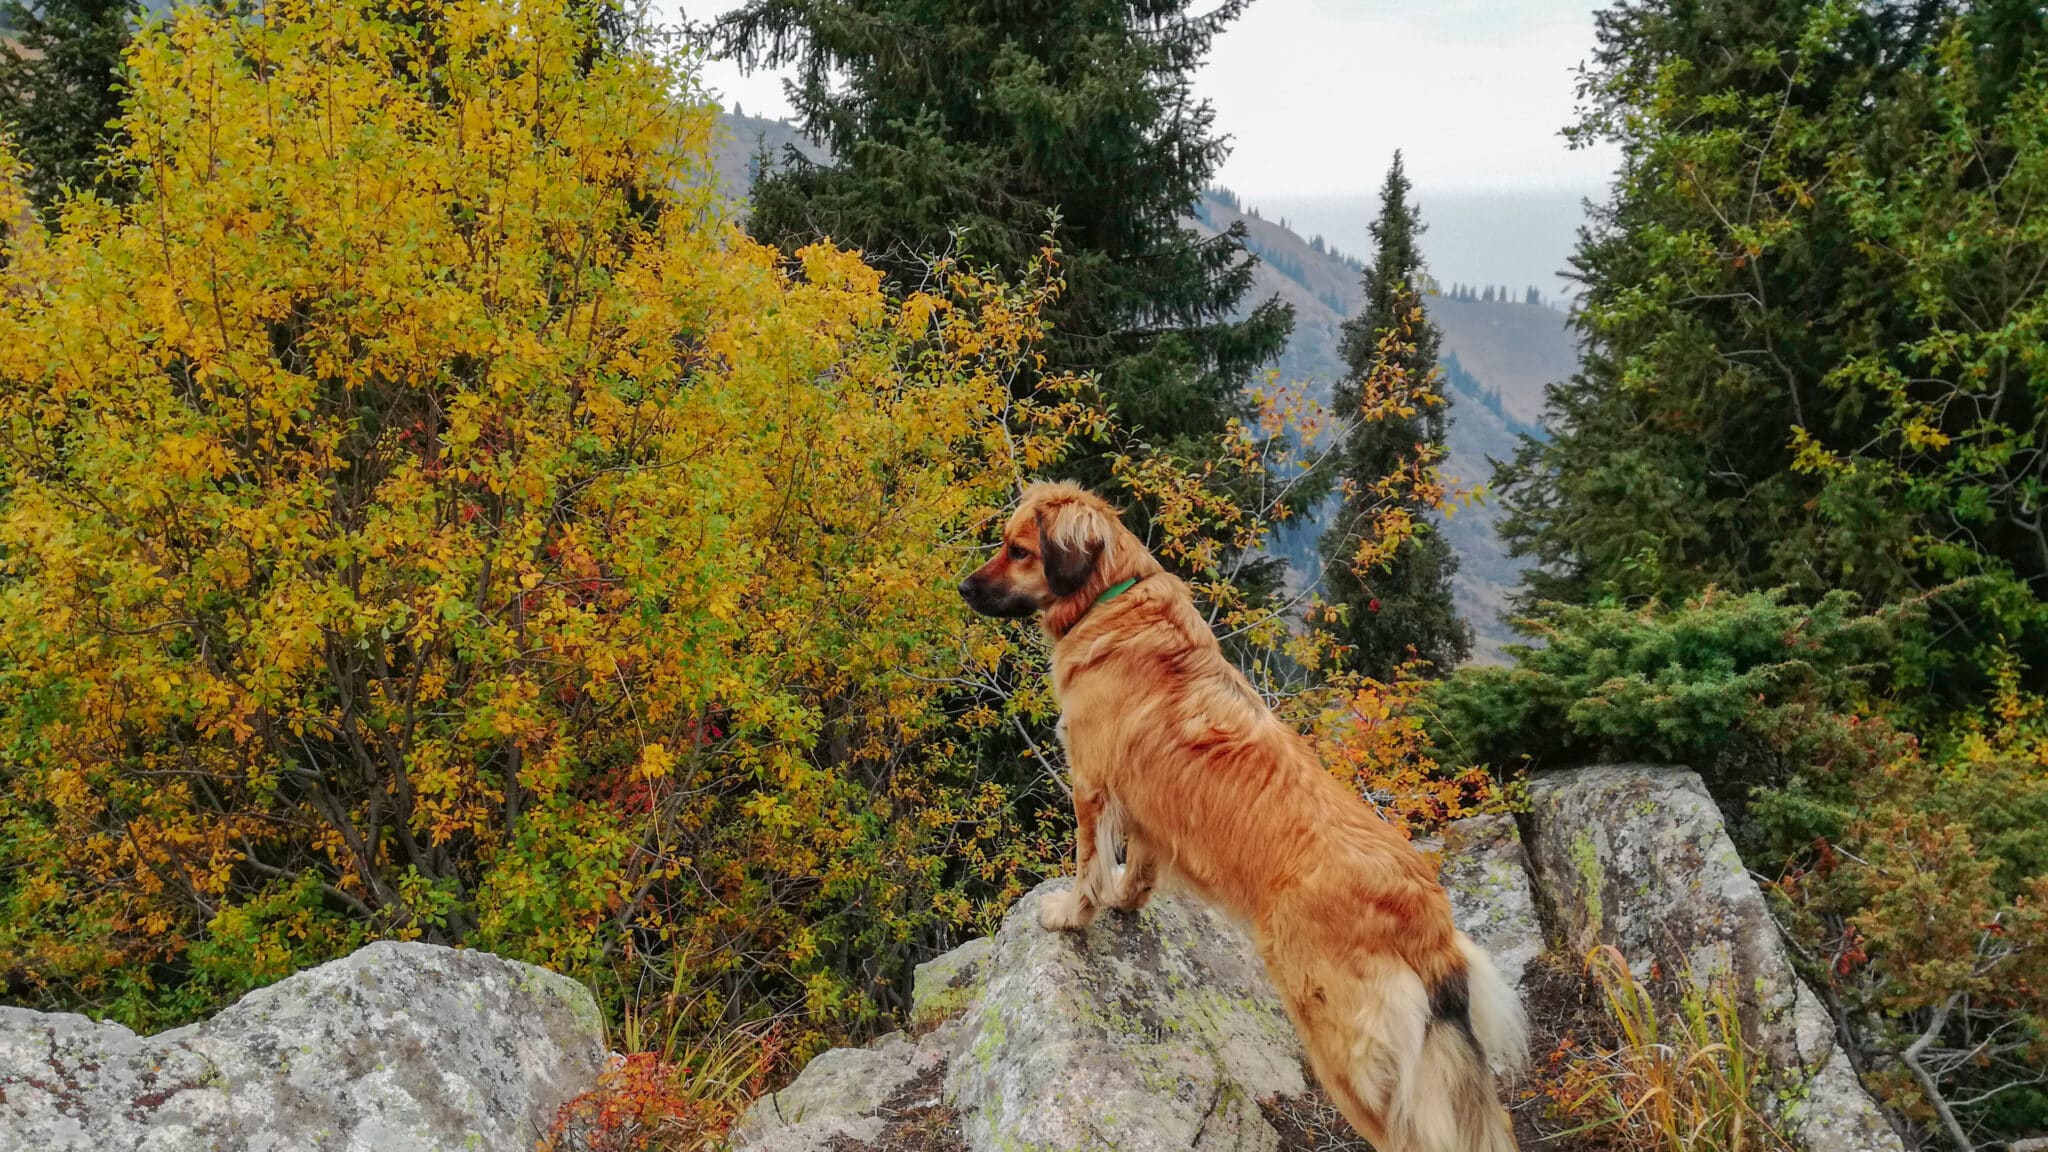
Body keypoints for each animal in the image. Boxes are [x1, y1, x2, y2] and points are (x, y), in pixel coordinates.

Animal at [958, 477, 1523, 1147]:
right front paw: (1125, 901)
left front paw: (1071, 915)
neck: (1113, 600)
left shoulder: (1091, 784)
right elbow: (1139, 868)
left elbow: (1089, 865)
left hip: (1342, 1049)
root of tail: (1424, 911)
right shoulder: (1148, 807)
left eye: (1019, 550)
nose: (963, 588)